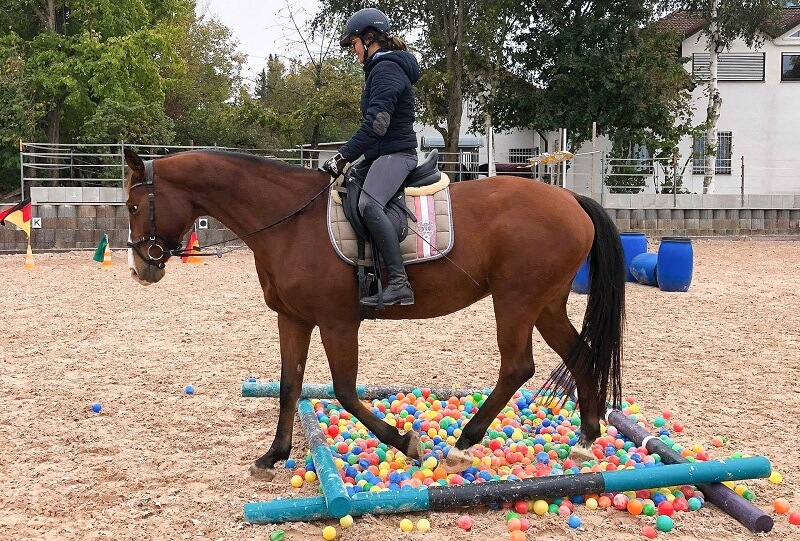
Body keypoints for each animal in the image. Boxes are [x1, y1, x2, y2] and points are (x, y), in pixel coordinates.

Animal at [123, 148, 624, 476]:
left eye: (132, 205)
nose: (141, 268)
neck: (290, 222)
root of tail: (570, 200)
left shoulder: (337, 323)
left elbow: (345, 391)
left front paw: (405, 441)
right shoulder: (294, 318)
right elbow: (289, 386)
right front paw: (274, 455)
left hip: (516, 301)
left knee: (518, 366)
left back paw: (464, 442)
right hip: (545, 304)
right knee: (580, 354)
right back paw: (586, 439)